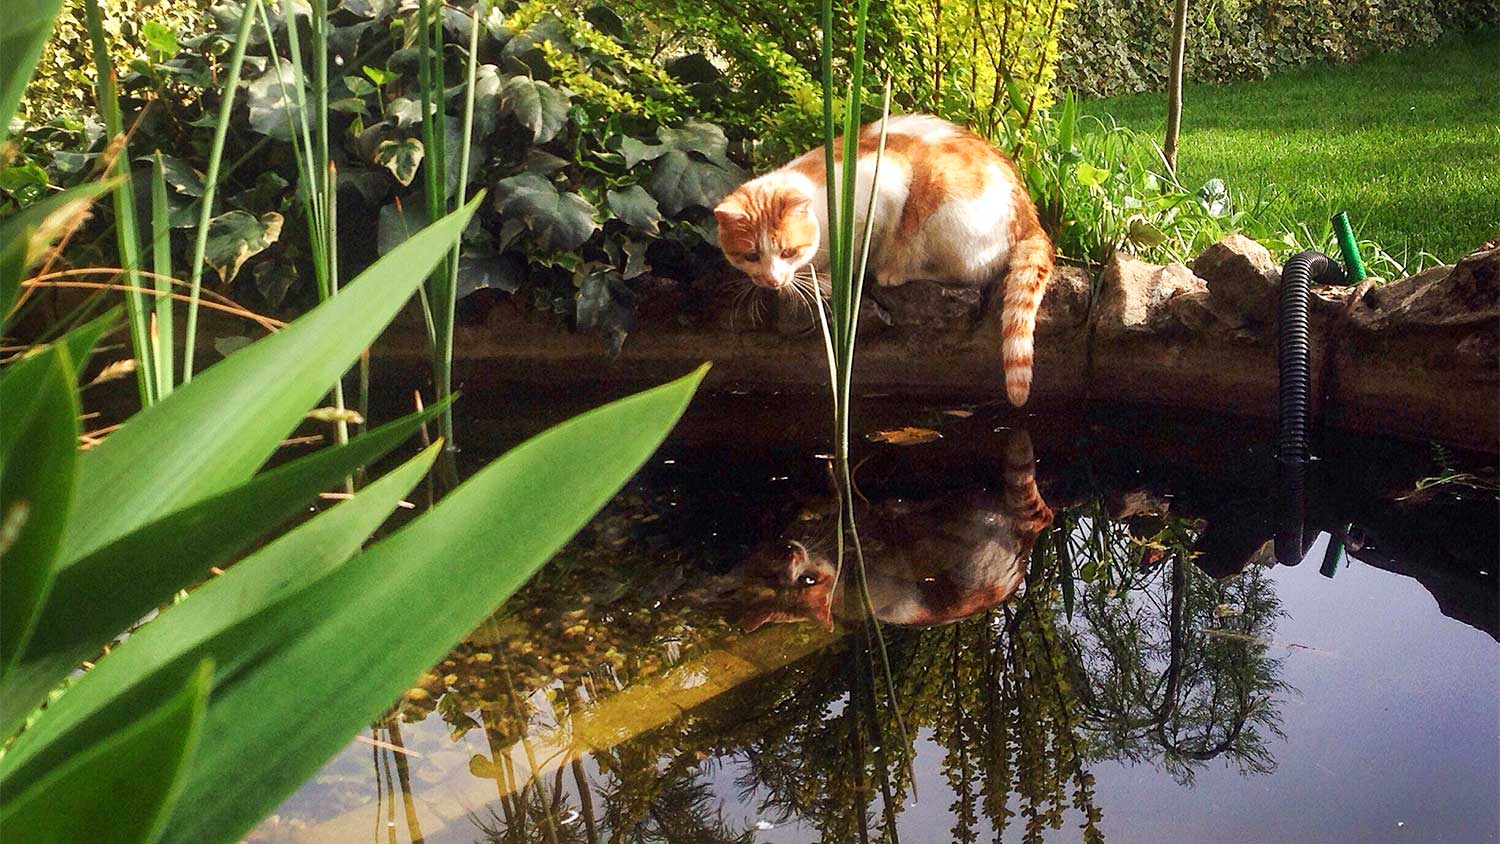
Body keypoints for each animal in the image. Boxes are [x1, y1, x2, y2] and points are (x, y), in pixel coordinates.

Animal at [714, 113, 1056, 404]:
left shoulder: (885, 189)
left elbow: (856, 254)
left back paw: (896, 271)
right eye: (751, 255)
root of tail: (1030, 213)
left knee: (966, 272)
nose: (771, 279)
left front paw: (826, 281)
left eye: (787, 251)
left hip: (945, 215)